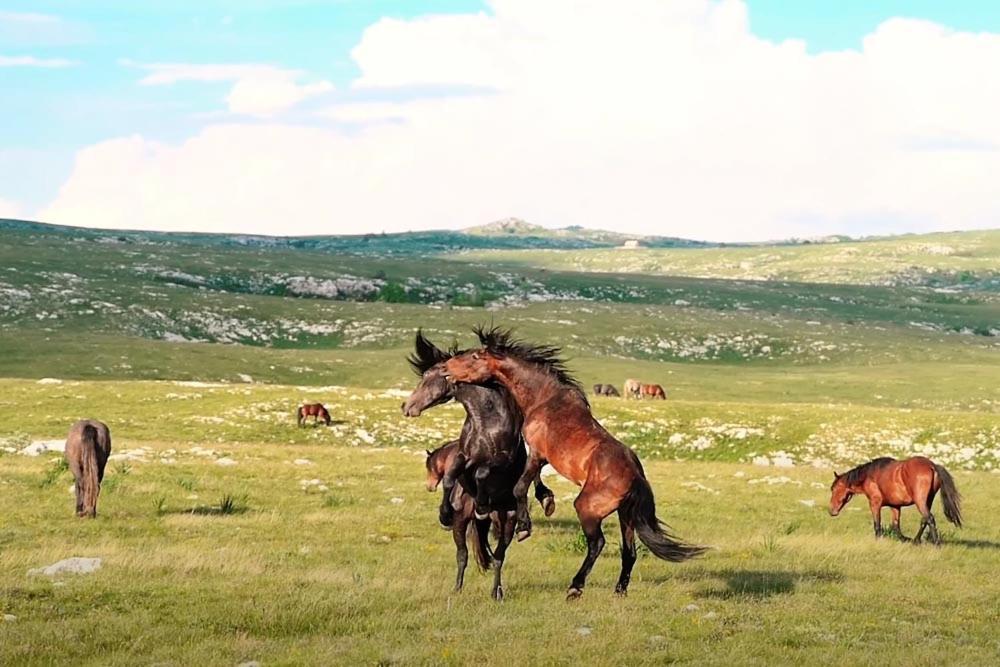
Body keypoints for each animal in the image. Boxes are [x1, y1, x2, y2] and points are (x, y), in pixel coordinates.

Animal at [442, 328, 708, 600]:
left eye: (475, 356)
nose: (445, 367)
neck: (544, 398)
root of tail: (636, 478)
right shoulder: (541, 456)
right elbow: (534, 481)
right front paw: (547, 500)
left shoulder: (537, 452)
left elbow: (520, 487)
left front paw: (525, 527)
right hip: (625, 514)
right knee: (629, 551)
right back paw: (619, 591)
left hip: (587, 509)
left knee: (597, 543)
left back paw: (575, 587)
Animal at [828, 456, 960, 544]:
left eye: (834, 489)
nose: (831, 511)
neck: (869, 476)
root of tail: (931, 465)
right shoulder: (895, 506)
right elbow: (896, 526)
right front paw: (905, 539)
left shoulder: (875, 504)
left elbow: (877, 524)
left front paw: (878, 540)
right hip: (928, 500)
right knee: (924, 520)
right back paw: (916, 540)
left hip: (920, 501)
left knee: (930, 519)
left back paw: (936, 543)